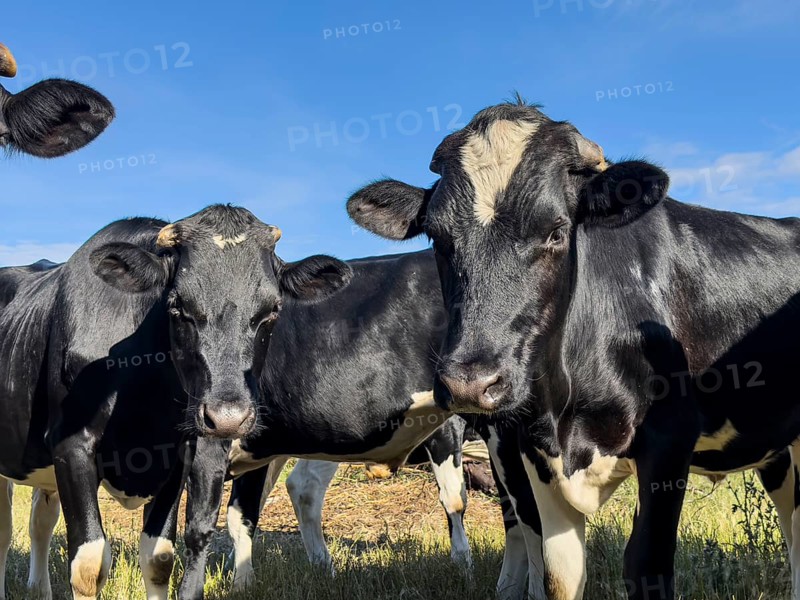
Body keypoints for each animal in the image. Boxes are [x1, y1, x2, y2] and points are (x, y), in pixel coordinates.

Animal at [0, 205, 350, 600]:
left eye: (273, 310)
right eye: (178, 306)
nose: (227, 417)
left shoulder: (179, 452)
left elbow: (159, 558)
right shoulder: (71, 445)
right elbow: (88, 565)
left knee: (40, 521)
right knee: (4, 532)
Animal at [347, 99, 800, 600]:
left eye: (556, 232)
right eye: (438, 238)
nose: (469, 384)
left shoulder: (670, 439)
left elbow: (646, 565)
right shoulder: (532, 449)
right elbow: (558, 574)